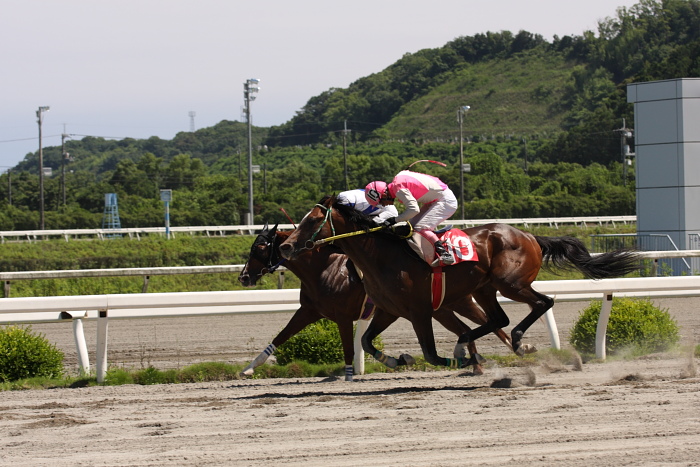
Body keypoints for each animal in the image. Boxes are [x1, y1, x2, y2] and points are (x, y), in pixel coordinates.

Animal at [238, 223, 516, 380]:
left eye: (259, 248)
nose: (244, 277)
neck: (322, 269)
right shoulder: (308, 311)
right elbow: (280, 337)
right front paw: (249, 368)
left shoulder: (343, 316)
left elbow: (349, 349)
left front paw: (349, 376)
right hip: (441, 309)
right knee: (467, 329)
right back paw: (477, 363)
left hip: (457, 303)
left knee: (487, 324)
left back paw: (515, 349)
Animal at [278, 196, 640, 372]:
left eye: (313, 220)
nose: (286, 246)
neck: (382, 255)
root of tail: (530, 235)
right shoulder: (388, 310)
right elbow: (366, 342)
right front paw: (398, 360)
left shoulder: (419, 312)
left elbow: (431, 353)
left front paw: (461, 360)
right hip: (484, 288)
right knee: (498, 318)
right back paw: (486, 344)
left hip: (509, 284)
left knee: (542, 303)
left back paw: (512, 342)